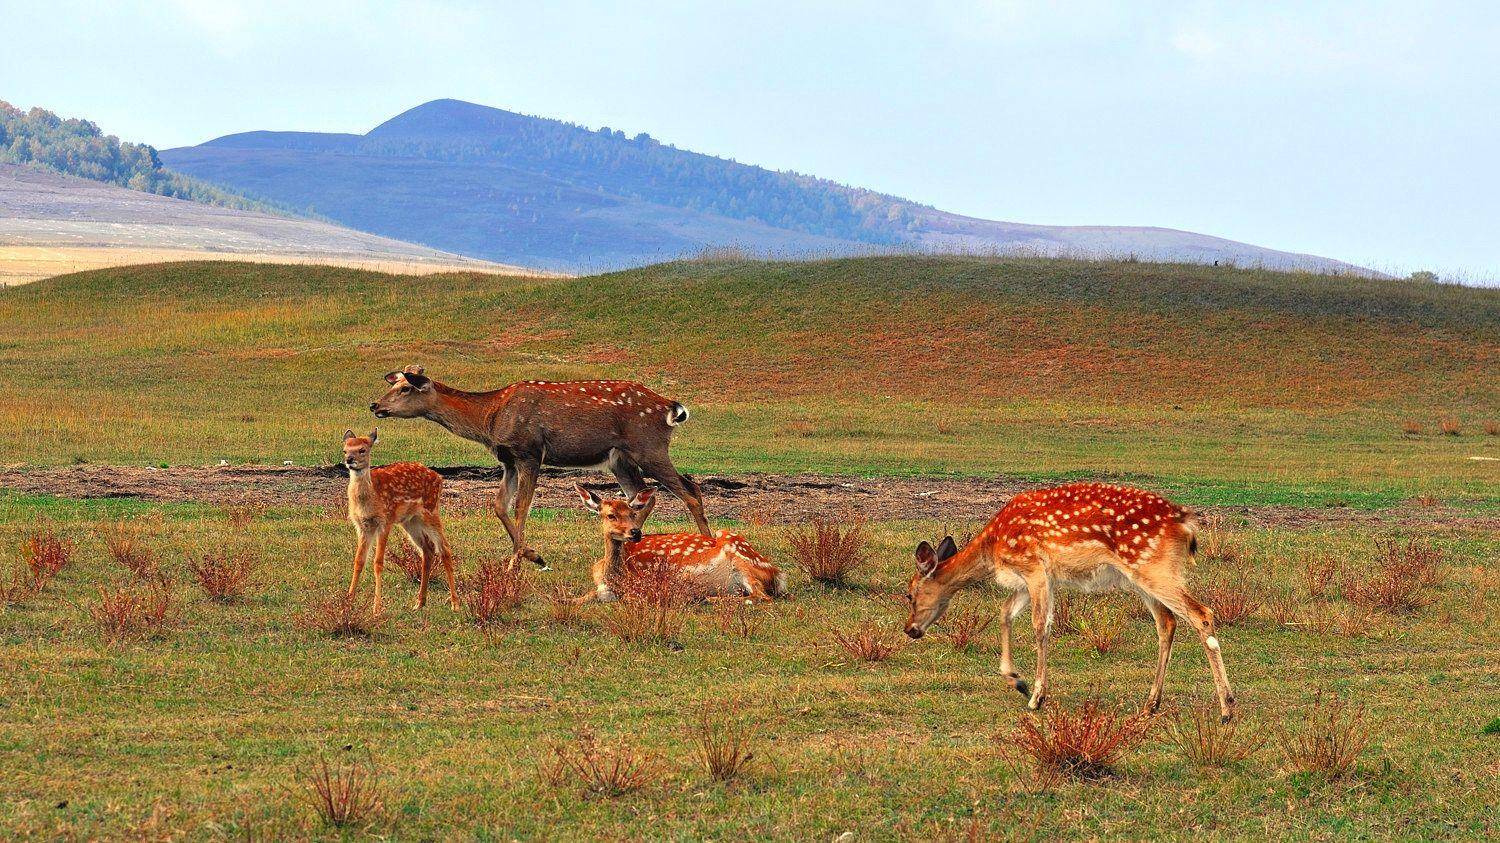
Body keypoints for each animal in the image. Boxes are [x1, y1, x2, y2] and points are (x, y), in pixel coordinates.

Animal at [342, 426, 453, 609]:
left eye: (362, 450)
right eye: (345, 450)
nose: (349, 460)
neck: (371, 497)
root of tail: (440, 478)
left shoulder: (385, 520)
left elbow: (378, 562)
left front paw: (376, 608)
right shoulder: (363, 525)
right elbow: (358, 561)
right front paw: (348, 602)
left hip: (431, 511)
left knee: (444, 548)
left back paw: (455, 604)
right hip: (410, 521)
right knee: (428, 550)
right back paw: (419, 603)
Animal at [369, 361, 708, 564]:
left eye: (405, 388)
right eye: (392, 385)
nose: (375, 405)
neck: (490, 417)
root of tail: (670, 407)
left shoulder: (530, 452)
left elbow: (522, 506)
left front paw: (522, 560)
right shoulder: (508, 459)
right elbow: (499, 505)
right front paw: (530, 554)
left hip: (648, 447)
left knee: (690, 490)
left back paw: (707, 543)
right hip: (620, 459)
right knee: (642, 494)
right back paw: (633, 542)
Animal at [573, 483, 786, 600]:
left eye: (633, 513)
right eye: (611, 515)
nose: (635, 532)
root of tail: (776, 572)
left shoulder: (648, 584)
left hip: (738, 553)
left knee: (760, 595)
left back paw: (709, 599)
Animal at [900, 483, 1230, 720]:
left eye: (910, 593)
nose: (909, 629)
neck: (992, 548)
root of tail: (1186, 523)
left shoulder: (1034, 566)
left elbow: (1040, 626)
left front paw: (1036, 696)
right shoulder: (1031, 578)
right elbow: (1005, 613)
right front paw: (1016, 680)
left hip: (1152, 567)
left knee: (1201, 613)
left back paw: (1227, 707)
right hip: (1144, 575)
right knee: (1167, 622)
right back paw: (1152, 704)